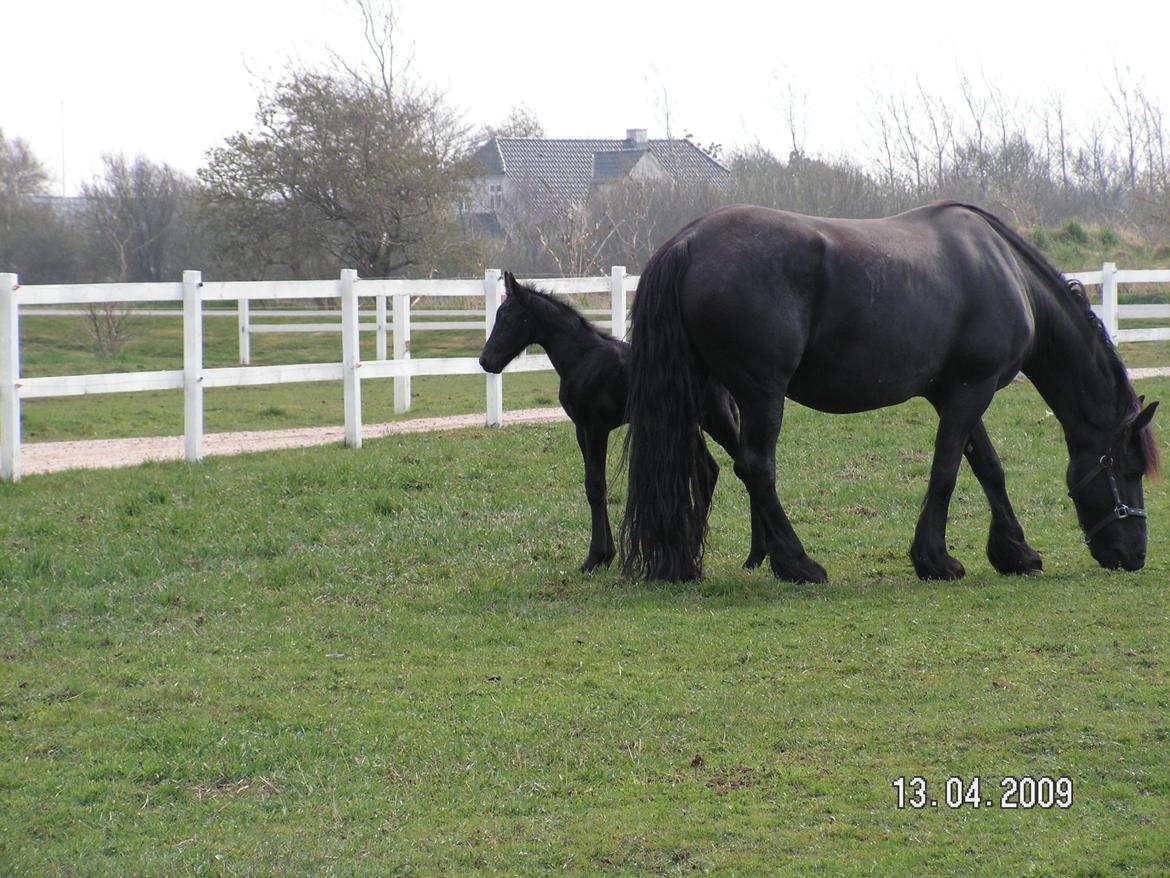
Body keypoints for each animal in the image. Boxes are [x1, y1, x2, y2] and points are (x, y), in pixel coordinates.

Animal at [479, 275, 762, 578]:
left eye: (508, 319)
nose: (485, 361)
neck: (583, 358)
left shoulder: (595, 428)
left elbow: (595, 485)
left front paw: (595, 557)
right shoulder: (581, 430)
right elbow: (594, 486)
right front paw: (604, 555)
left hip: (717, 419)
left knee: (742, 469)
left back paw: (754, 557)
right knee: (708, 471)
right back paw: (695, 547)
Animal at [622, 204, 1160, 585]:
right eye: (1130, 469)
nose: (1135, 554)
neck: (1007, 275)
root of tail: (686, 244)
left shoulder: (955, 394)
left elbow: (988, 468)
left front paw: (1015, 553)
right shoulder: (972, 391)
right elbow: (946, 472)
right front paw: (936, 560)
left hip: (704, 395)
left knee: (703, 467)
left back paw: (694, 563)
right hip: (760, 395)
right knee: (755, 468)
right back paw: (798, 564)